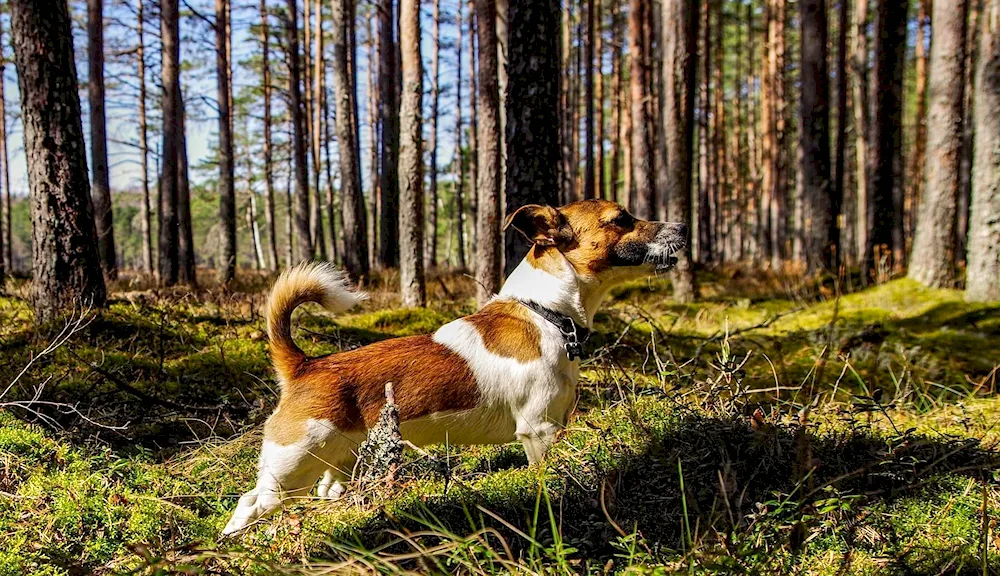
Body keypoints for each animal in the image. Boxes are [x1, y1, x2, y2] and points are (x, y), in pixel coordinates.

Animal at [222, 199, 684, 536]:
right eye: (622, 219)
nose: (682, 227)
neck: (545, 313)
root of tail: (305, 365)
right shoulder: (538, 432)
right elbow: (543, 477)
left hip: (335, 466)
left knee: (325, 491)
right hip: (290, 470)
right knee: (249, 503)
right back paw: (232, 542)